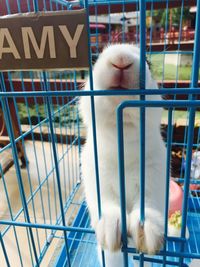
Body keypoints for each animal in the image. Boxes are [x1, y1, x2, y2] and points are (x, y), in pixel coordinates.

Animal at [79, 44, 166, 267]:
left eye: (148, 62)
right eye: (94, 58)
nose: (120, 59)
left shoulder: (153, 178)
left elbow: (148, 205)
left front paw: (147, 233)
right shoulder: (97, 180)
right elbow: (107, 205)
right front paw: (111, 231)